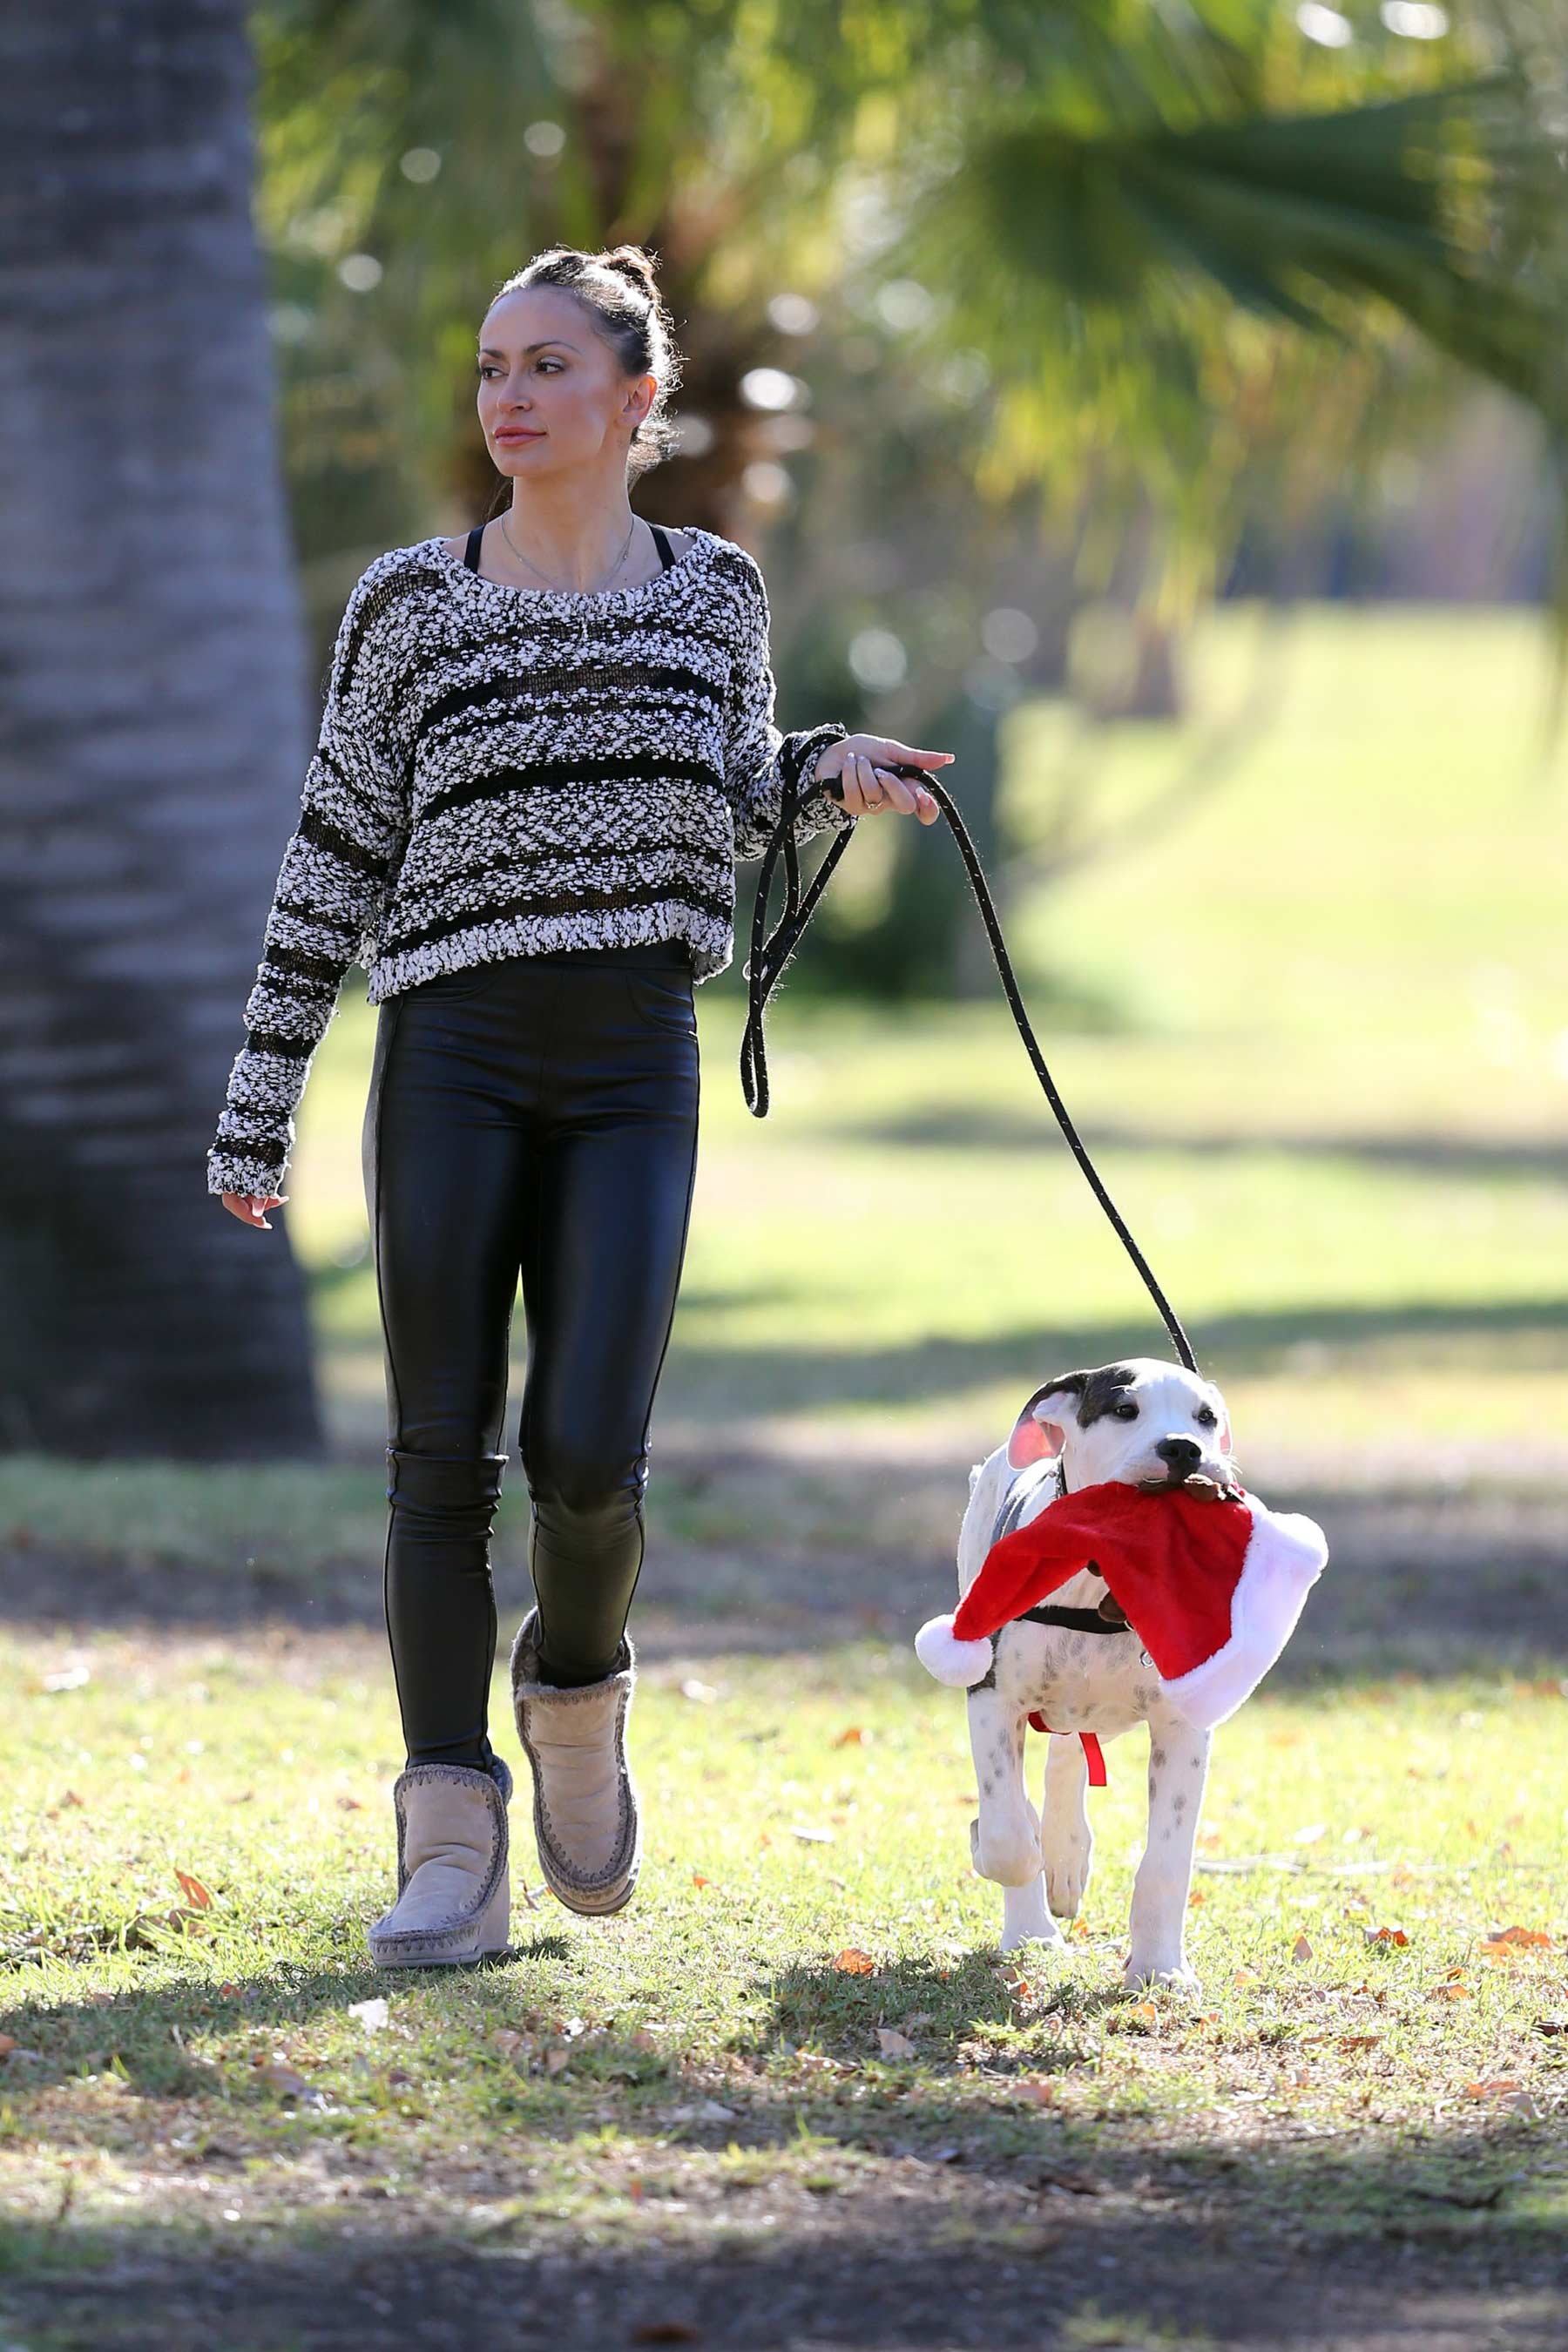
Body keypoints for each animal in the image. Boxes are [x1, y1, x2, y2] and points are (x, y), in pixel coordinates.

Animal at [950, 1364, 1232, 1984]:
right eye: (1125, 1410)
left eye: (1206, 1417)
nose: (1184, 1448)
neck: (1104, 1573)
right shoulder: (992, 1696)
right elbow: (1007, 1836)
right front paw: (1011, 1882)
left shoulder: (1181, 1730)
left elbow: (1167, 1862)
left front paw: (1161, 1969)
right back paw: (1032, 1925)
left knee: (1067, 1752)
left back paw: (1066, 1854)